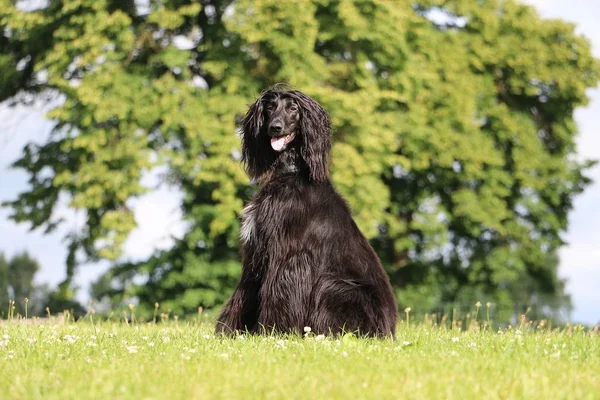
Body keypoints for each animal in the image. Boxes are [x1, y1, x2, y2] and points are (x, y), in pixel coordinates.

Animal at [217, 88, 398, 338]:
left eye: (293, 108)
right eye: (270, 107)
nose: (275, 127)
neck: (290, 173)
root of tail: (389, 330)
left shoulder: (290, 256)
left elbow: (279, 294)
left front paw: (272, 331)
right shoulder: (257, 251)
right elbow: (245, 293)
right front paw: (229, 331)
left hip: (334, 286)